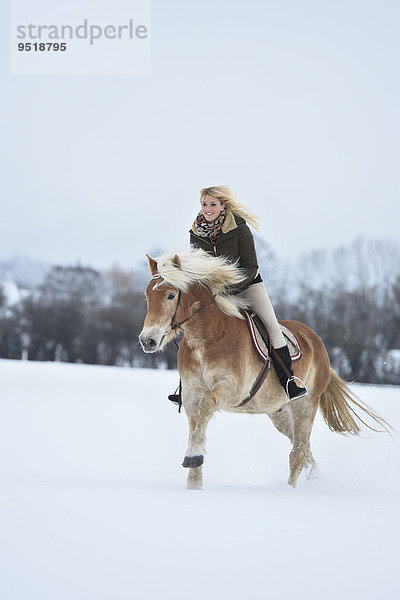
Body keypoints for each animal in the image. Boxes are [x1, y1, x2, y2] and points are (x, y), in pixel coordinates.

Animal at [138, 247, 390, 488]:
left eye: (171, 295)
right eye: (147, 295)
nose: (147, 340)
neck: (207, 336)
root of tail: (316, 341)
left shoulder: (232, 388)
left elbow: (207, 406)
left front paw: (193, 457)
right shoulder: (191, 393)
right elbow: (197, 422)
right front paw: (193, 482)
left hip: (305, 406)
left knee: (298, 453)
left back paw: (290, 490)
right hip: (278, 413)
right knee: (303, 448)